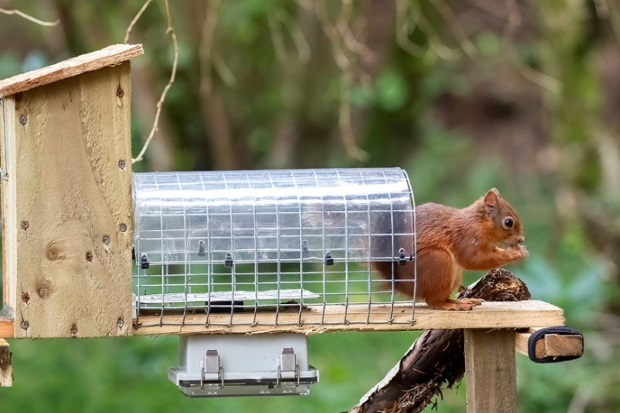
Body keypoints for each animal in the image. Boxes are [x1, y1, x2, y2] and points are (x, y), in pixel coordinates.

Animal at [372, 187, 528, 308]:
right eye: (508, 222)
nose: (521, 239)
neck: (479, 222)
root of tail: (404, 285)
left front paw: (522, 251)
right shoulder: (466, 237)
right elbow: (473, 259)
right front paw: (513, 254)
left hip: (454, 274)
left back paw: (462, 301)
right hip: (437, 259)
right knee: (434, 302)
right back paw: (451, 306)